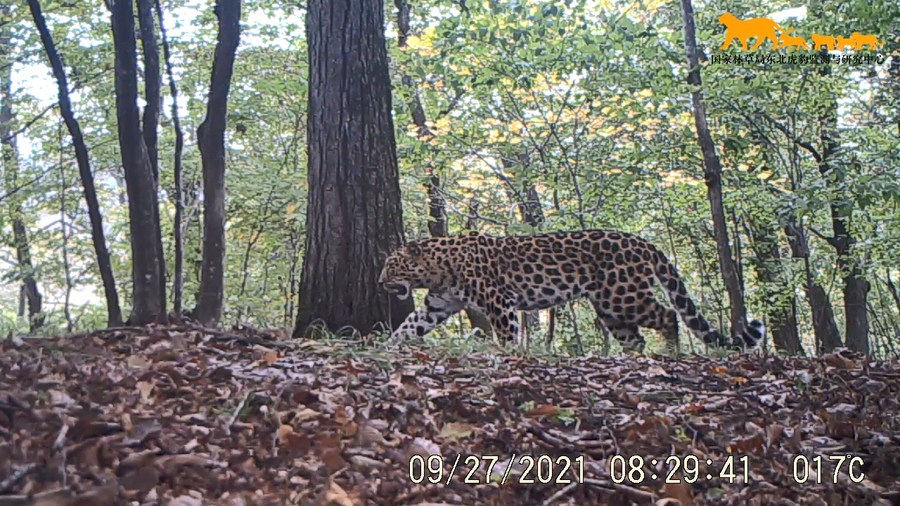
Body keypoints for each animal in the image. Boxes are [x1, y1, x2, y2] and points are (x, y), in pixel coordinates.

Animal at [376, 231, 764, 354]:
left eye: (392, 265)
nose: (379, 282)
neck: (439, 269)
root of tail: (643, 241)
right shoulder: (437, 305)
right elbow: (410, 325)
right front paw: (386, 346)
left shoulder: (500, 301)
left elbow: (507, 333)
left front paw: (508, 354)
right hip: (608, 307)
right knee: (635, 338)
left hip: (622, 295)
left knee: (668, 315)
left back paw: (669, 353)